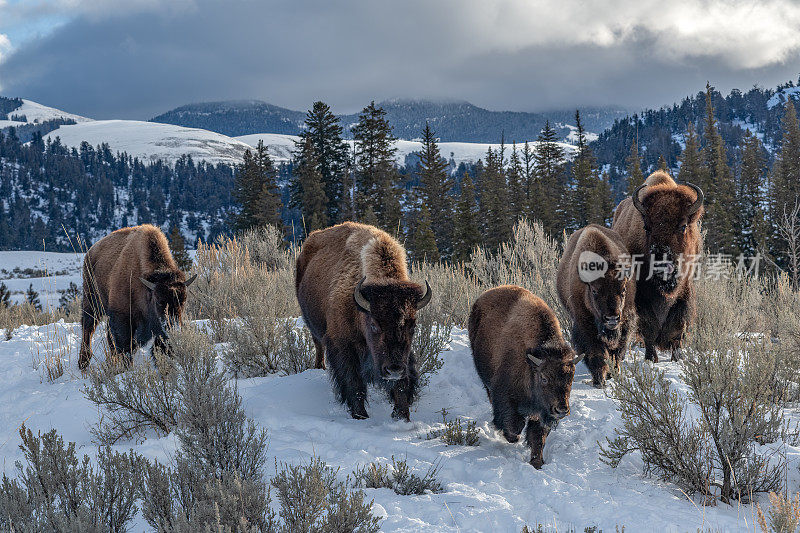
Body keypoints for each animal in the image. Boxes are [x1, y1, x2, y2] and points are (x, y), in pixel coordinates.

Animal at [78, 224, 197, 370]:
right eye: (159, 301)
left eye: (183, 301)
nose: (172, 327)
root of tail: (90, 252)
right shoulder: (122, 317)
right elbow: (125, 346)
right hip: (92, 301)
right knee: (88, 327)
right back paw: (83, 362)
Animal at [294, 220, 432, 420]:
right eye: (374, 324)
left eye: (412, 325)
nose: (394, 370)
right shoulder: (343, 346)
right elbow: (354, 383)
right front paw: (360, 416)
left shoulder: (403, 358)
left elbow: (401, 385)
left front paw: (401, 415)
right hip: (313, 327)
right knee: (319, 346)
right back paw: (320, 367)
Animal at [468, 284, 580, 468]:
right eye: (544, 378)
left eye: (570, 379)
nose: (562, 409)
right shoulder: (506, 396)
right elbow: (515, 424)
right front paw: (513, 438)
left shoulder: (542, 412)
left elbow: (538, 437)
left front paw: (537, 462)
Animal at [560, 223, 636, 386]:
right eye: (594, 290)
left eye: (623, 289)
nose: (612, 318)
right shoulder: (584, 324)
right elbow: (596, 351)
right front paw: (599, 379)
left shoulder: (625, 322)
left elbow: (616, 352)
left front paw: (611, 374)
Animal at [612, 170, 700, 362]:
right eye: (647, 227)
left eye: (683, 226)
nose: (661, 261)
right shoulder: (642, 297)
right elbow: (649, 328)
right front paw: (651, 357)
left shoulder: (684, 291)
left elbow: (678, 326)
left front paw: (677, 357)